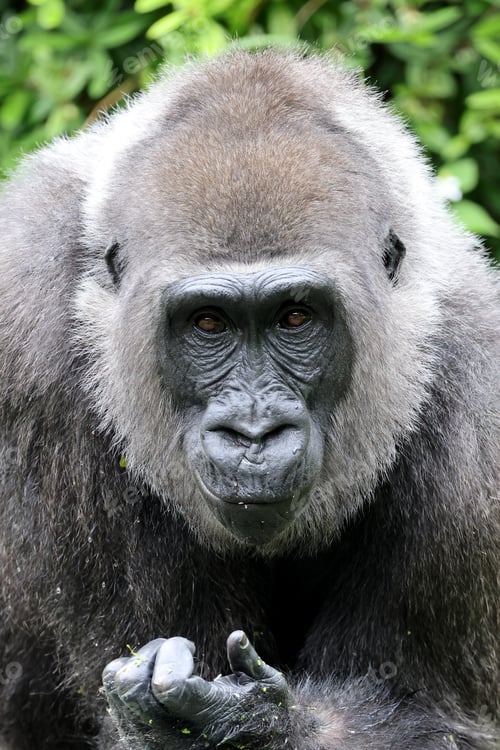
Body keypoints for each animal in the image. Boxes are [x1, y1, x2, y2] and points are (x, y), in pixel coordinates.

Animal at [0, 48, 498, 750]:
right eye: (208, 323)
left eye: (296, 318)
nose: (255, 435)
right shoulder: (27, 329)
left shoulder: (480, 404)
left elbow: (431, 713)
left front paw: (246, 726)